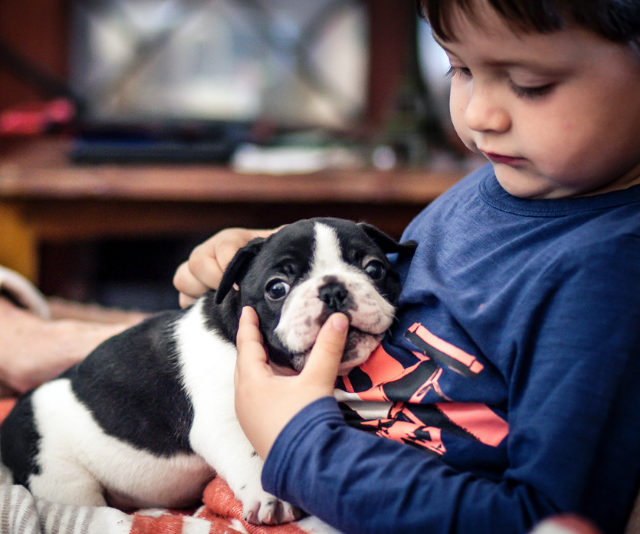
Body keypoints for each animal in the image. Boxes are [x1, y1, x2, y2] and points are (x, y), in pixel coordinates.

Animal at [1, 219, 416, 528]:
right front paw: (270, 496)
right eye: (277, 289)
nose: (332, 289)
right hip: (61, 475)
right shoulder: (223, 416)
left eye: (375, 269)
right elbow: (252, 450)